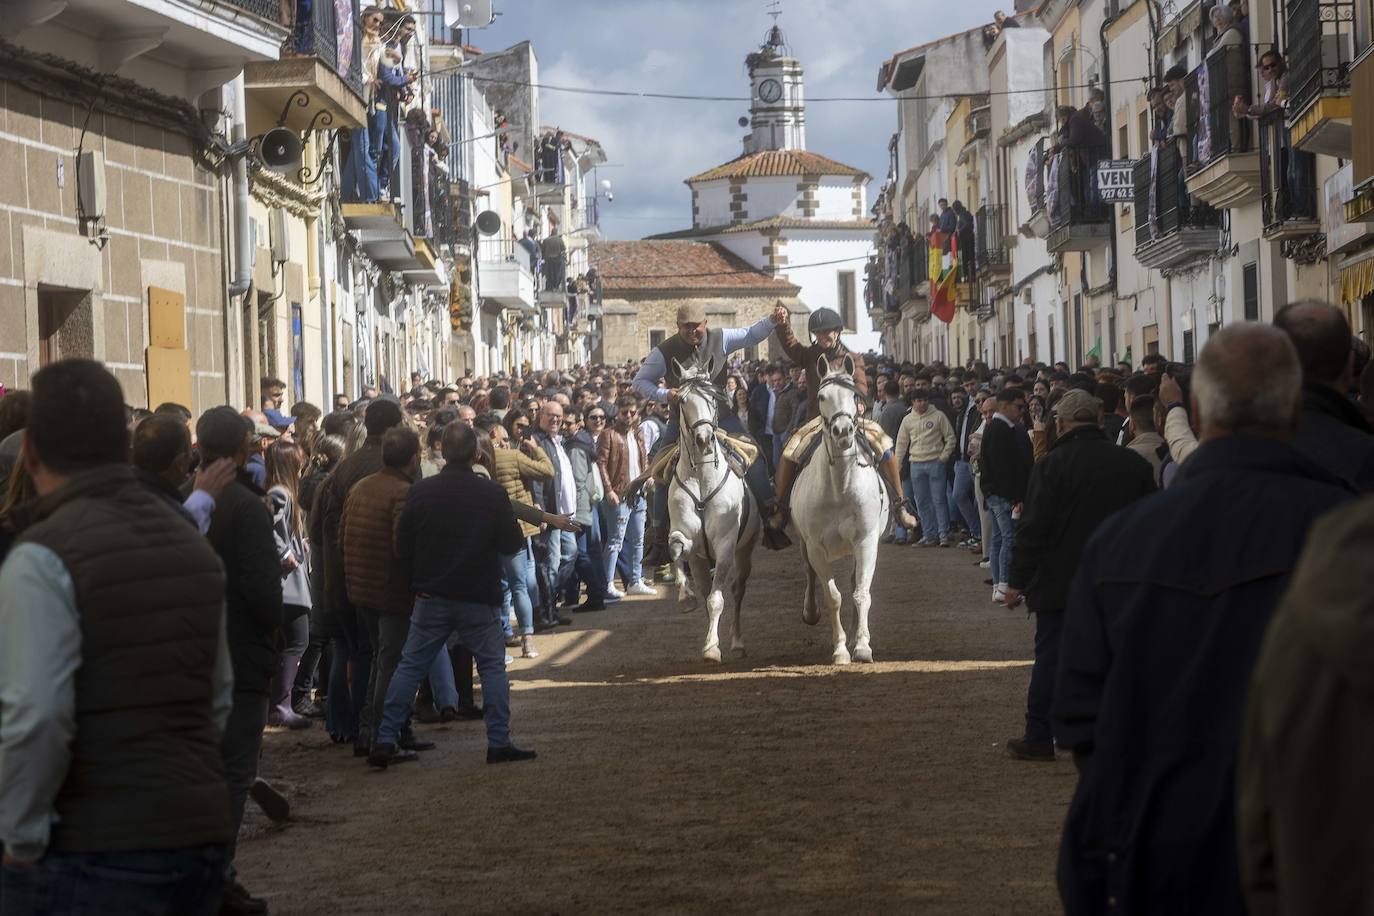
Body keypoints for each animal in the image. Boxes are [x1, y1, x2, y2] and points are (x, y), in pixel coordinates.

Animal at [665, 362, 763, 661]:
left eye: (713, 397)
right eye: (682, 401)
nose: (704, 439)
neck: (702, 477)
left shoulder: (726, 544)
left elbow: (718, 599)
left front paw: (711, 647)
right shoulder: (685, 537)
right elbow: (675, 550)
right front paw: (685, 598)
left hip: (745, 551)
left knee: (737, 590)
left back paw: (737, 642)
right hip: (699, 560)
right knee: (705, 586)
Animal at [791, 354, 884, 661]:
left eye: (854, 395)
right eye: (822, 396)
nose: (842, 431)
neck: (841, 486)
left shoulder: (866, 541)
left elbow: (861, 593)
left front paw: (862, 646)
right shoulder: (816, 547)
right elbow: (833, 597)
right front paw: (841, 649)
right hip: (805, 544)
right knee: (809, 572)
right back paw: (811, 612)